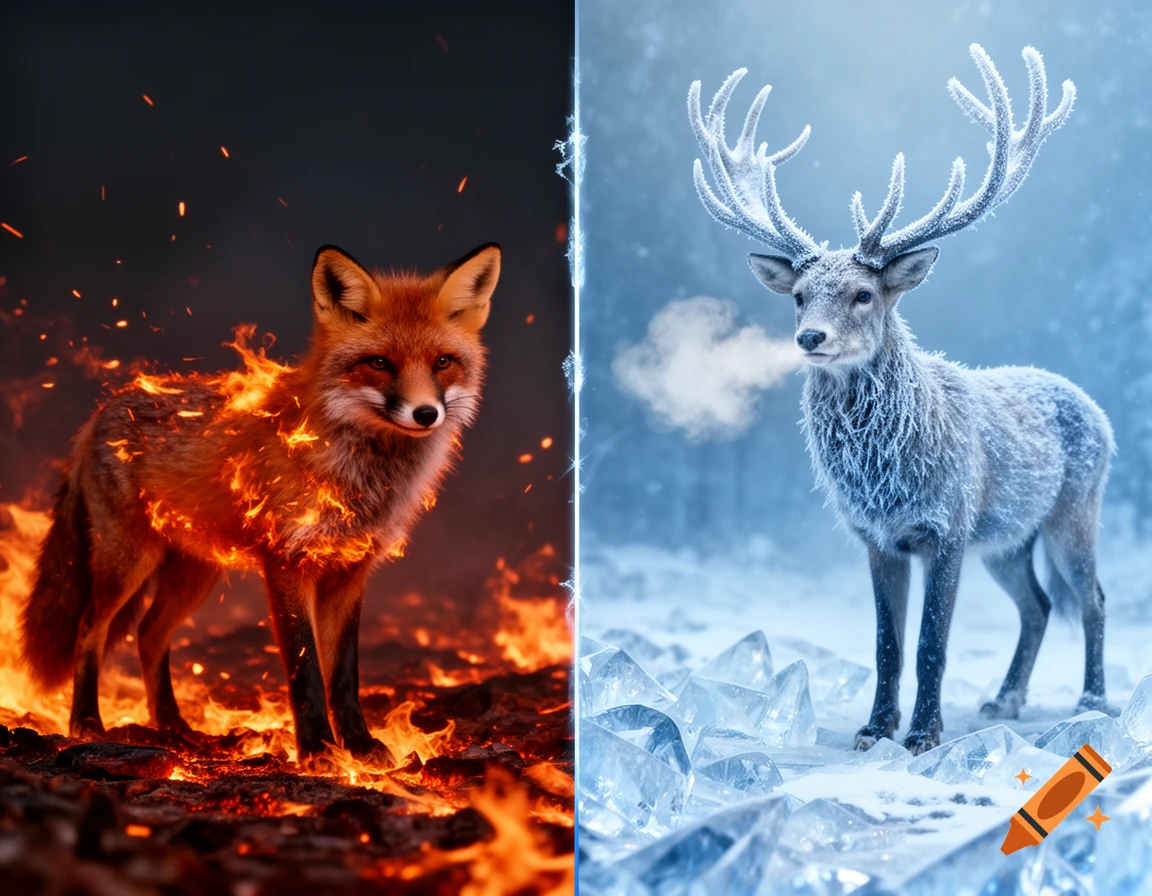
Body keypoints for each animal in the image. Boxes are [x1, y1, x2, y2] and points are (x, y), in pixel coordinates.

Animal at [20, 242, 501, 765]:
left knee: (149, 634)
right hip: (127, 564)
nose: (425, 413)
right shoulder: (287, 562)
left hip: (194, 575)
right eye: (379, 363)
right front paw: (317, 748)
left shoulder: (351, 570)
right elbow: (305, 669)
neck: (360, 476)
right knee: (91, 627)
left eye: (443, 362)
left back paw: (173, 727)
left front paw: (358, 744)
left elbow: (344, 672)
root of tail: (100, 411)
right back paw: (87, 721)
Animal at [689, 45, 1112, 754]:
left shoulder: (947, 524)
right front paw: (873, 729)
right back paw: (1005, 700)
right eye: (799, 295)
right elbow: (887, 643)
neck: (886, 477)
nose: (810, 337)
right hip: (1007, 538)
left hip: (1074, 510)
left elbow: (931, 643)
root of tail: (1095, 409)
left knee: (1092, 598)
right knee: (1039, 604)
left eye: (864, 293)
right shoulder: (877, 536)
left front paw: (923, 735)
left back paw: (1093, 702)